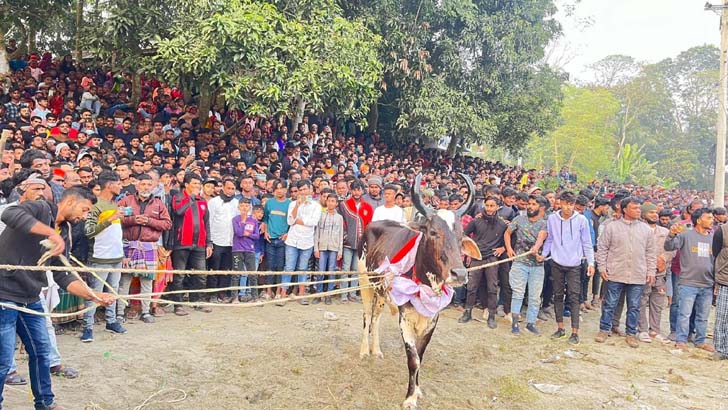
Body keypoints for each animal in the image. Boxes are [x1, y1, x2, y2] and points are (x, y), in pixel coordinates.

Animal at [358, 173, 484, 410]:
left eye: (461, 235)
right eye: (433, 232)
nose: (460, 274)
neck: (425, 285)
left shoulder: (432, 321)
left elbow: (421, 356)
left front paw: (417, 390)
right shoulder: (405, 319)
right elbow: (413, 359)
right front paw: (409, 398)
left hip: (382, 292)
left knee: (376, 318)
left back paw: (376, 350)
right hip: (364, 283)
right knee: (367, 317)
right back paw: (363, 351)